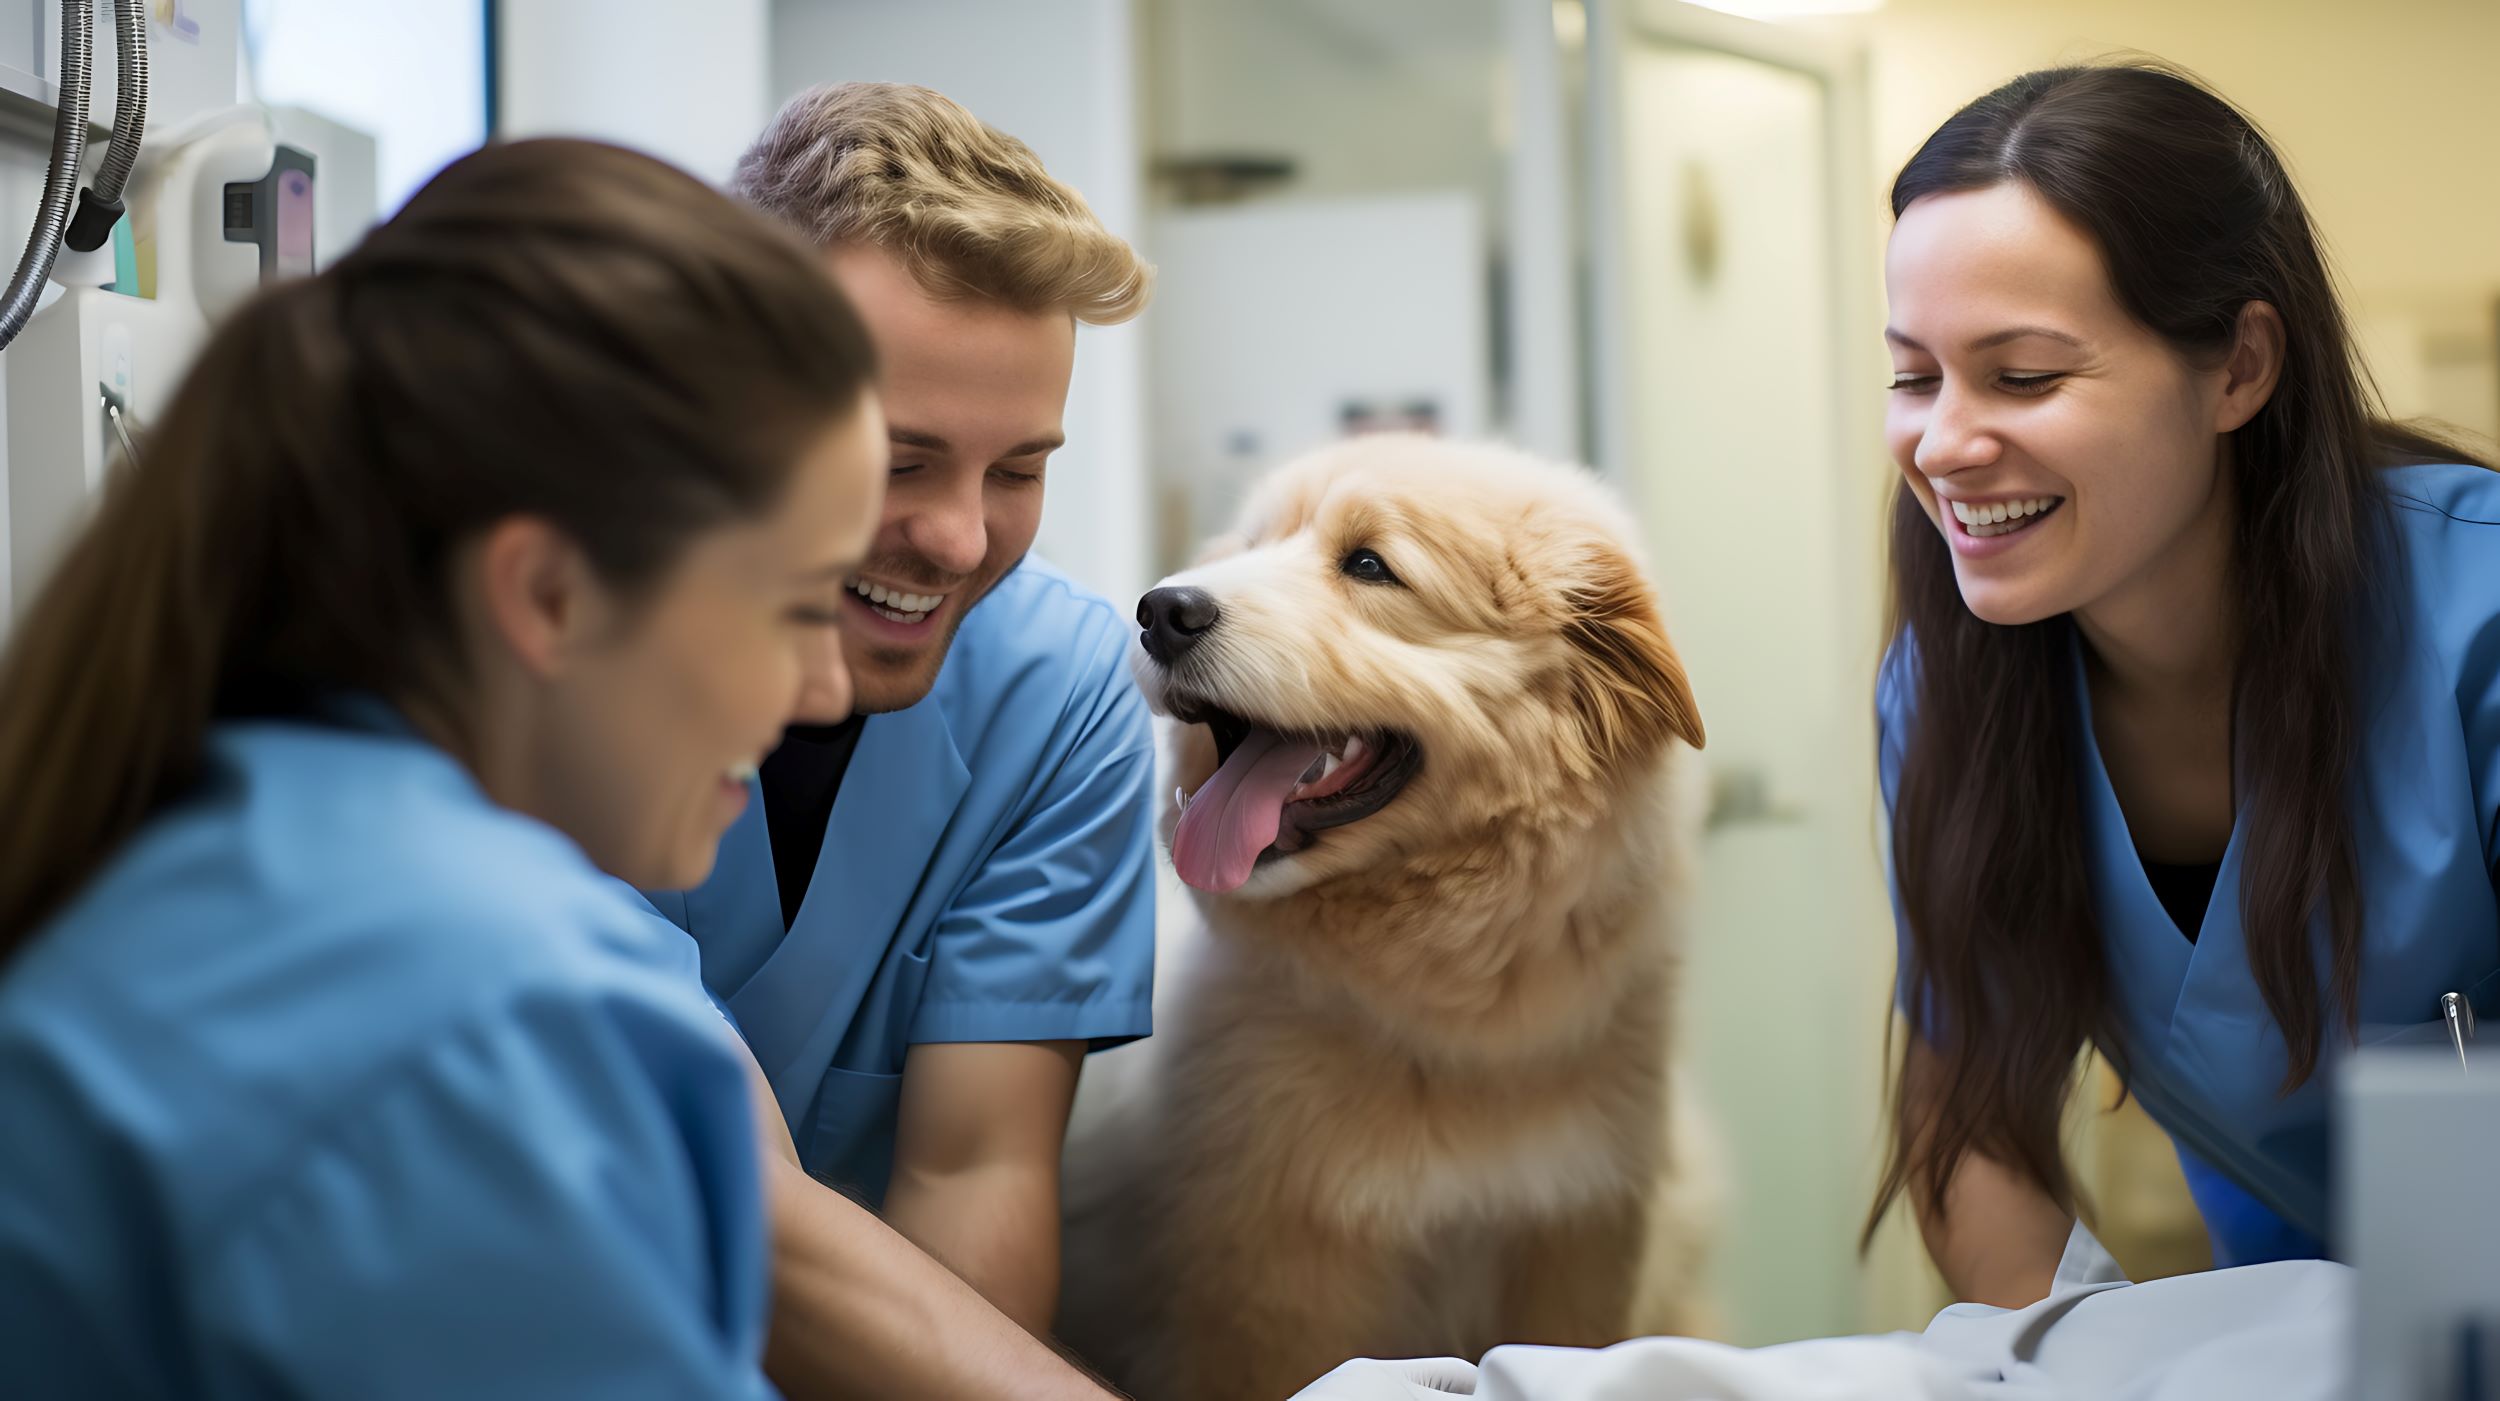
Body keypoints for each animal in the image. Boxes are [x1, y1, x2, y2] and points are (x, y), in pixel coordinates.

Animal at [1055, 437, 1720, 1401]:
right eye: (1248, 548)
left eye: (1369, 565)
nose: (1160, 610)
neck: (1441, 1021)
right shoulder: (1266, 1298)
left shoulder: (1580, 1245)